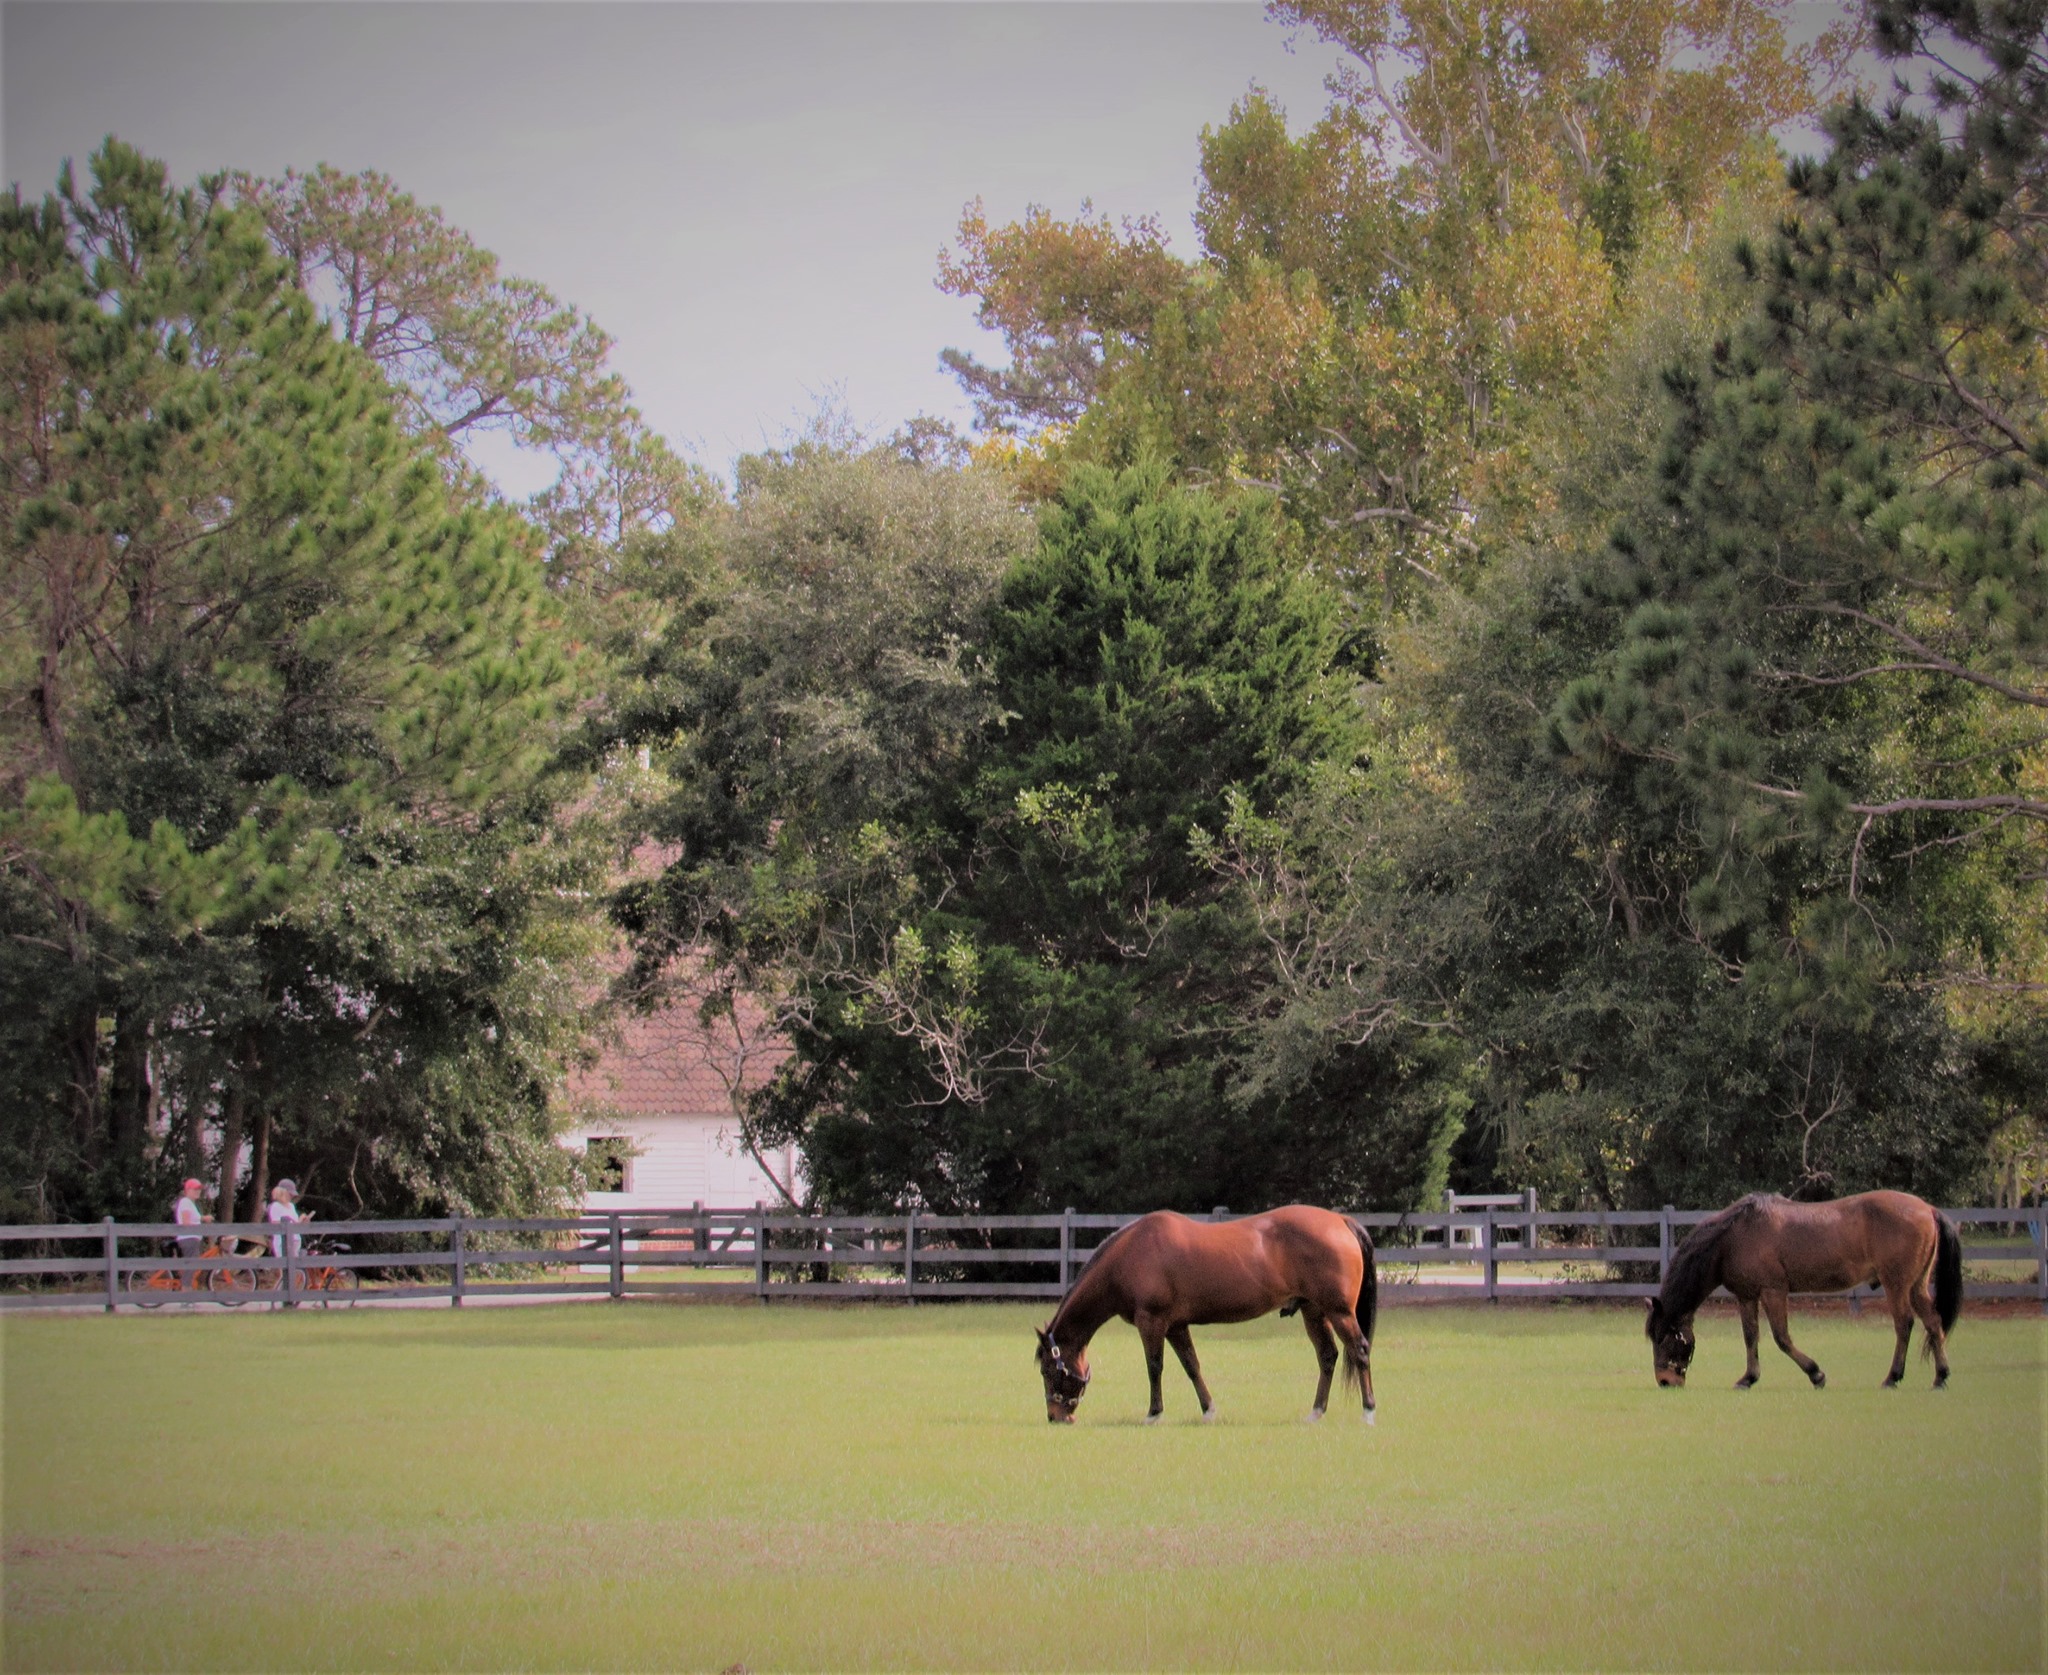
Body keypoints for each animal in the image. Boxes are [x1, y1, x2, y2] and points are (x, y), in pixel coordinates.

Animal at [1032, 1204, 1384, 1425]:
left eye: (1049, 1370)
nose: (1055, 1416)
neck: (1131, 1255)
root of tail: (1341, 1221)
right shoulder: (1175, 1326)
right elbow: (1192, 1366)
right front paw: (1209, 1410)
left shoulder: (1152, 1322)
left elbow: (1154, 1368)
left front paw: (1154, 1413)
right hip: (1314, 1311)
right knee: (1327, 1356)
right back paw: (1316, 1412)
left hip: (1339, 1311)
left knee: (1360, 1350)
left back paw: (1369, 1411)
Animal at [1638, 1179, 1957, 1392]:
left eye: (1664, 1337)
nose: (1665, 1381)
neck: (1733, 1237)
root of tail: (1927, 1208)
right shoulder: (1747, 1296)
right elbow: (1750, 1337)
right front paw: (1748, 1378)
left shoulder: (1773, 1292)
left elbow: (1781, 1338)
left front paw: (1816, 1374)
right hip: (1916, 1286)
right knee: (1933, 1322)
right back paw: (1940, 1377)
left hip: (1897, 1285)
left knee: (1904, 1324)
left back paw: (1893, 1377)